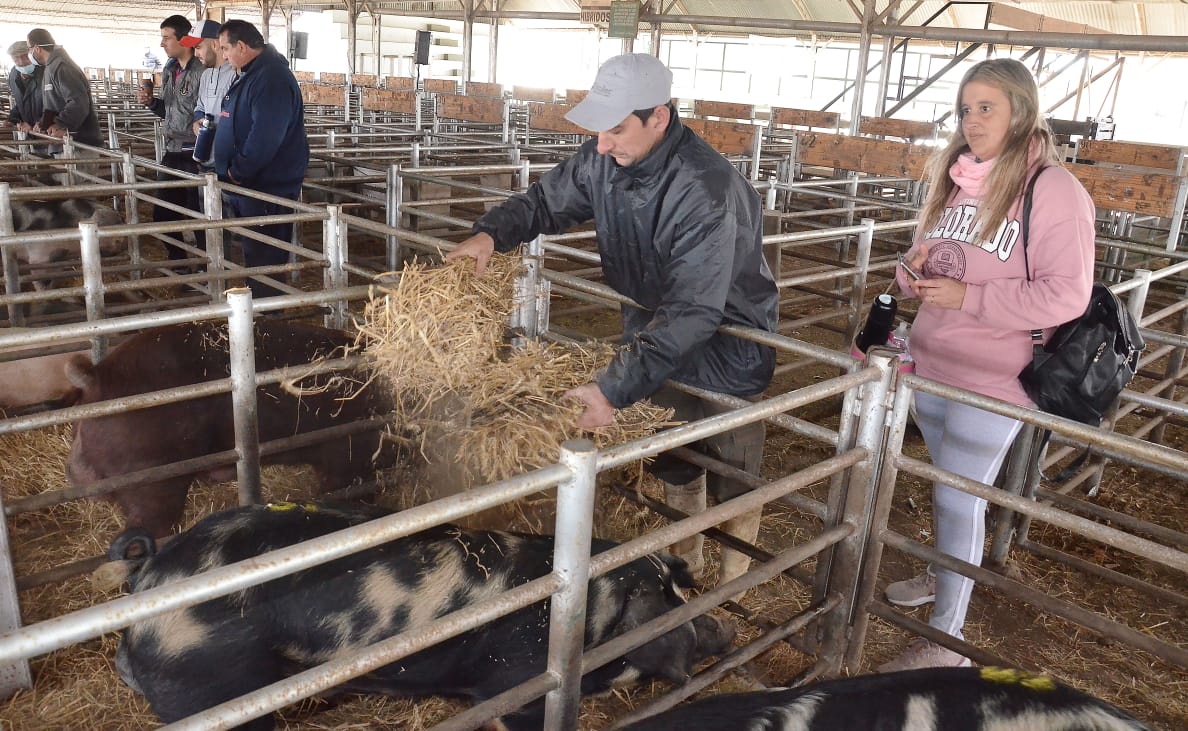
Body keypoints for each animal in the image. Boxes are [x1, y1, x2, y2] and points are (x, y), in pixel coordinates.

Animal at [111, 501, 737, 731]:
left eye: (681, 589)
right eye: (666, 604)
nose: (724, 630)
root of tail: (150, 576)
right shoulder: (521, 688)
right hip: (210, 691)